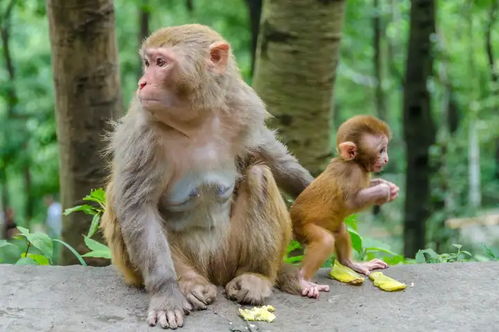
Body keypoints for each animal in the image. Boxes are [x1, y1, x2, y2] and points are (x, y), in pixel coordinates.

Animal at [100, 24, 312, 328]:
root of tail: (214, 272)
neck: (195, 121)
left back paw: (256, 275)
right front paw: (166, 294)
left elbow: (269, 155)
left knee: (259, 173)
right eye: (148, 63)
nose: (142, 83)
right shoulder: (142, 132)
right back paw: (189, 284)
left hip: (229, 255)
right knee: (119, 198)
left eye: (161, 63)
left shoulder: (241, 105)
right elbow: (138, 208)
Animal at [292, 115, 400, 298]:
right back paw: (302, 279)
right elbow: (351, 202)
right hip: (303, 228)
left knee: (340, 230)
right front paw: (384, 191)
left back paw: (350, 263)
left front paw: (388, 186)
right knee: (325, 240)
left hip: (330, 225)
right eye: (381, 150)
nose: (386, 159)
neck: (356, 162)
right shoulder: (351, 173)